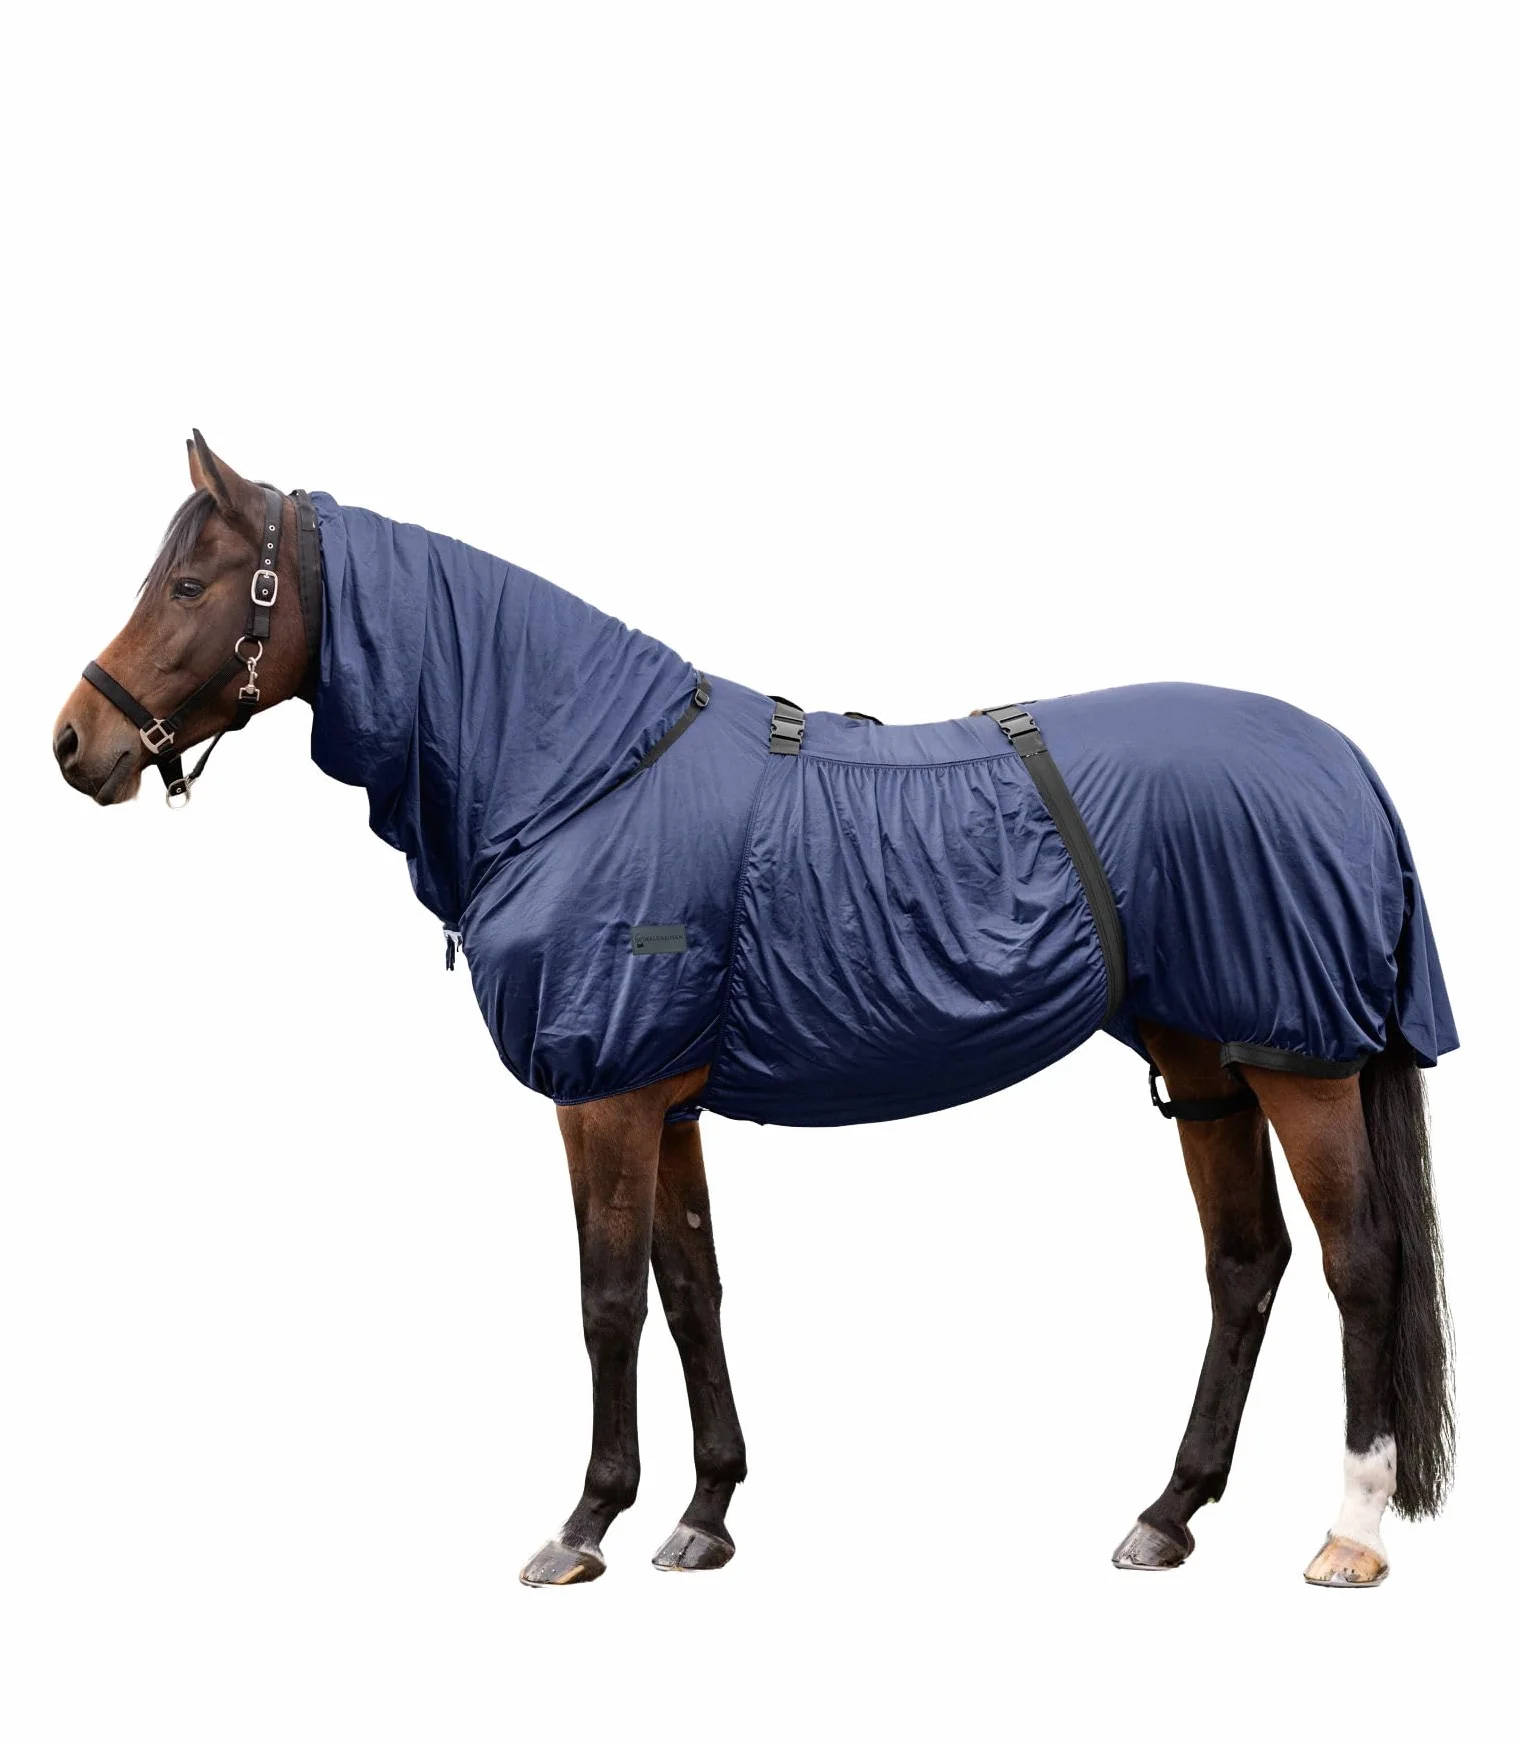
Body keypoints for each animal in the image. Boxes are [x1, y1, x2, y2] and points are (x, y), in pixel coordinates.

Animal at [54, 432, 1456, 1589]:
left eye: (190, 587)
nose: (74, 744)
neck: (582, 772)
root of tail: (1343, 762)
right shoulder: (663, 1101)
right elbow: (690, 1289)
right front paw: (703, 1515)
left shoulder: (603, 1094)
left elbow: (606, 1298)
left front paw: (583, 1524)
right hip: (1205, 1063)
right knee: (1244, 1263)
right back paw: (1166, 1515)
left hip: (1301, 1064)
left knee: (1357, 1263)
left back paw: (1346, 1532)